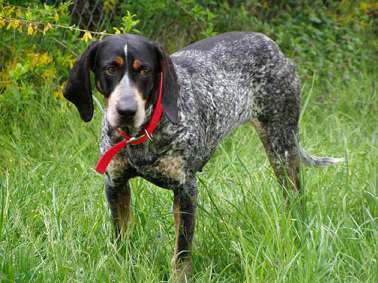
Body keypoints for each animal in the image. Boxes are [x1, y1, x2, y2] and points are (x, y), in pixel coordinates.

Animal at [62, 32, 342, 282]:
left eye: (144, 70)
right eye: (110, 69)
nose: (126, 110)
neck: (140, 137)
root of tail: (272, 45)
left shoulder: (185, 191)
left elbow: (182, 252)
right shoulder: (116, 185)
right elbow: (120, 238)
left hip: (281, 146)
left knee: (295, 195)